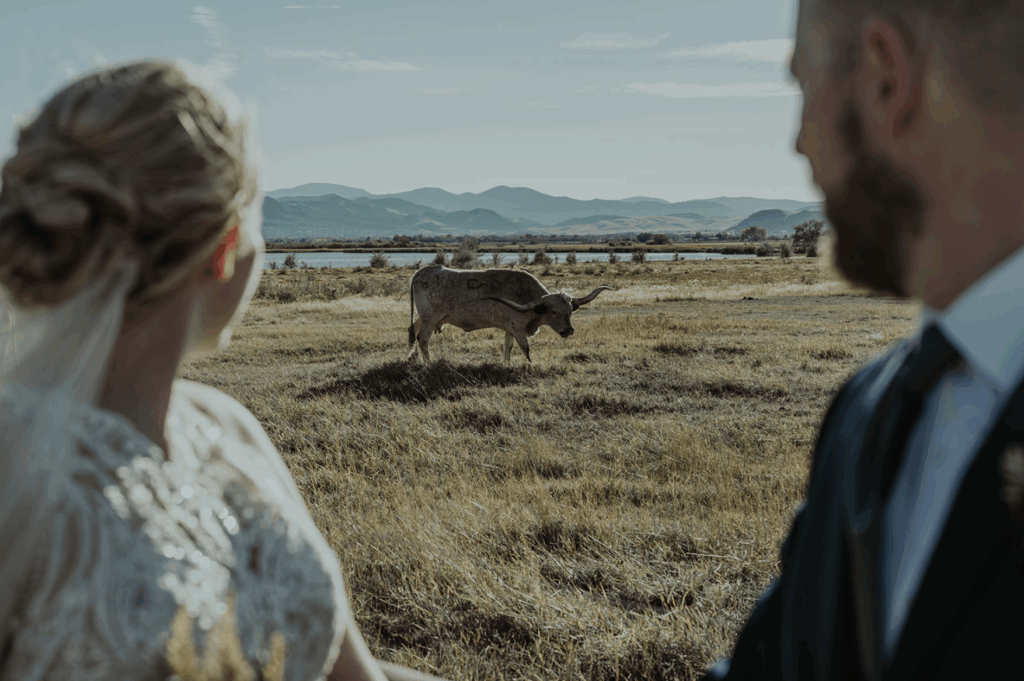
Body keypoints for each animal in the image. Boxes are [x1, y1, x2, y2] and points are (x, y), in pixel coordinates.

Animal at [407, 264, 611, 362]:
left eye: (570, 311)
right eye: (554, 312)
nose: (569, 330)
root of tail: (421, 272)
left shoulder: (509, 328)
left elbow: (508, 346)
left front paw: (506, 363)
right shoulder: (517, 328)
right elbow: (525, 348)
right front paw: (529, 365)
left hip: (426, 318)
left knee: (411, 330)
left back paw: (412, 358)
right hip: (430, 318)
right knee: (422, 338)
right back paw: (428, 362)